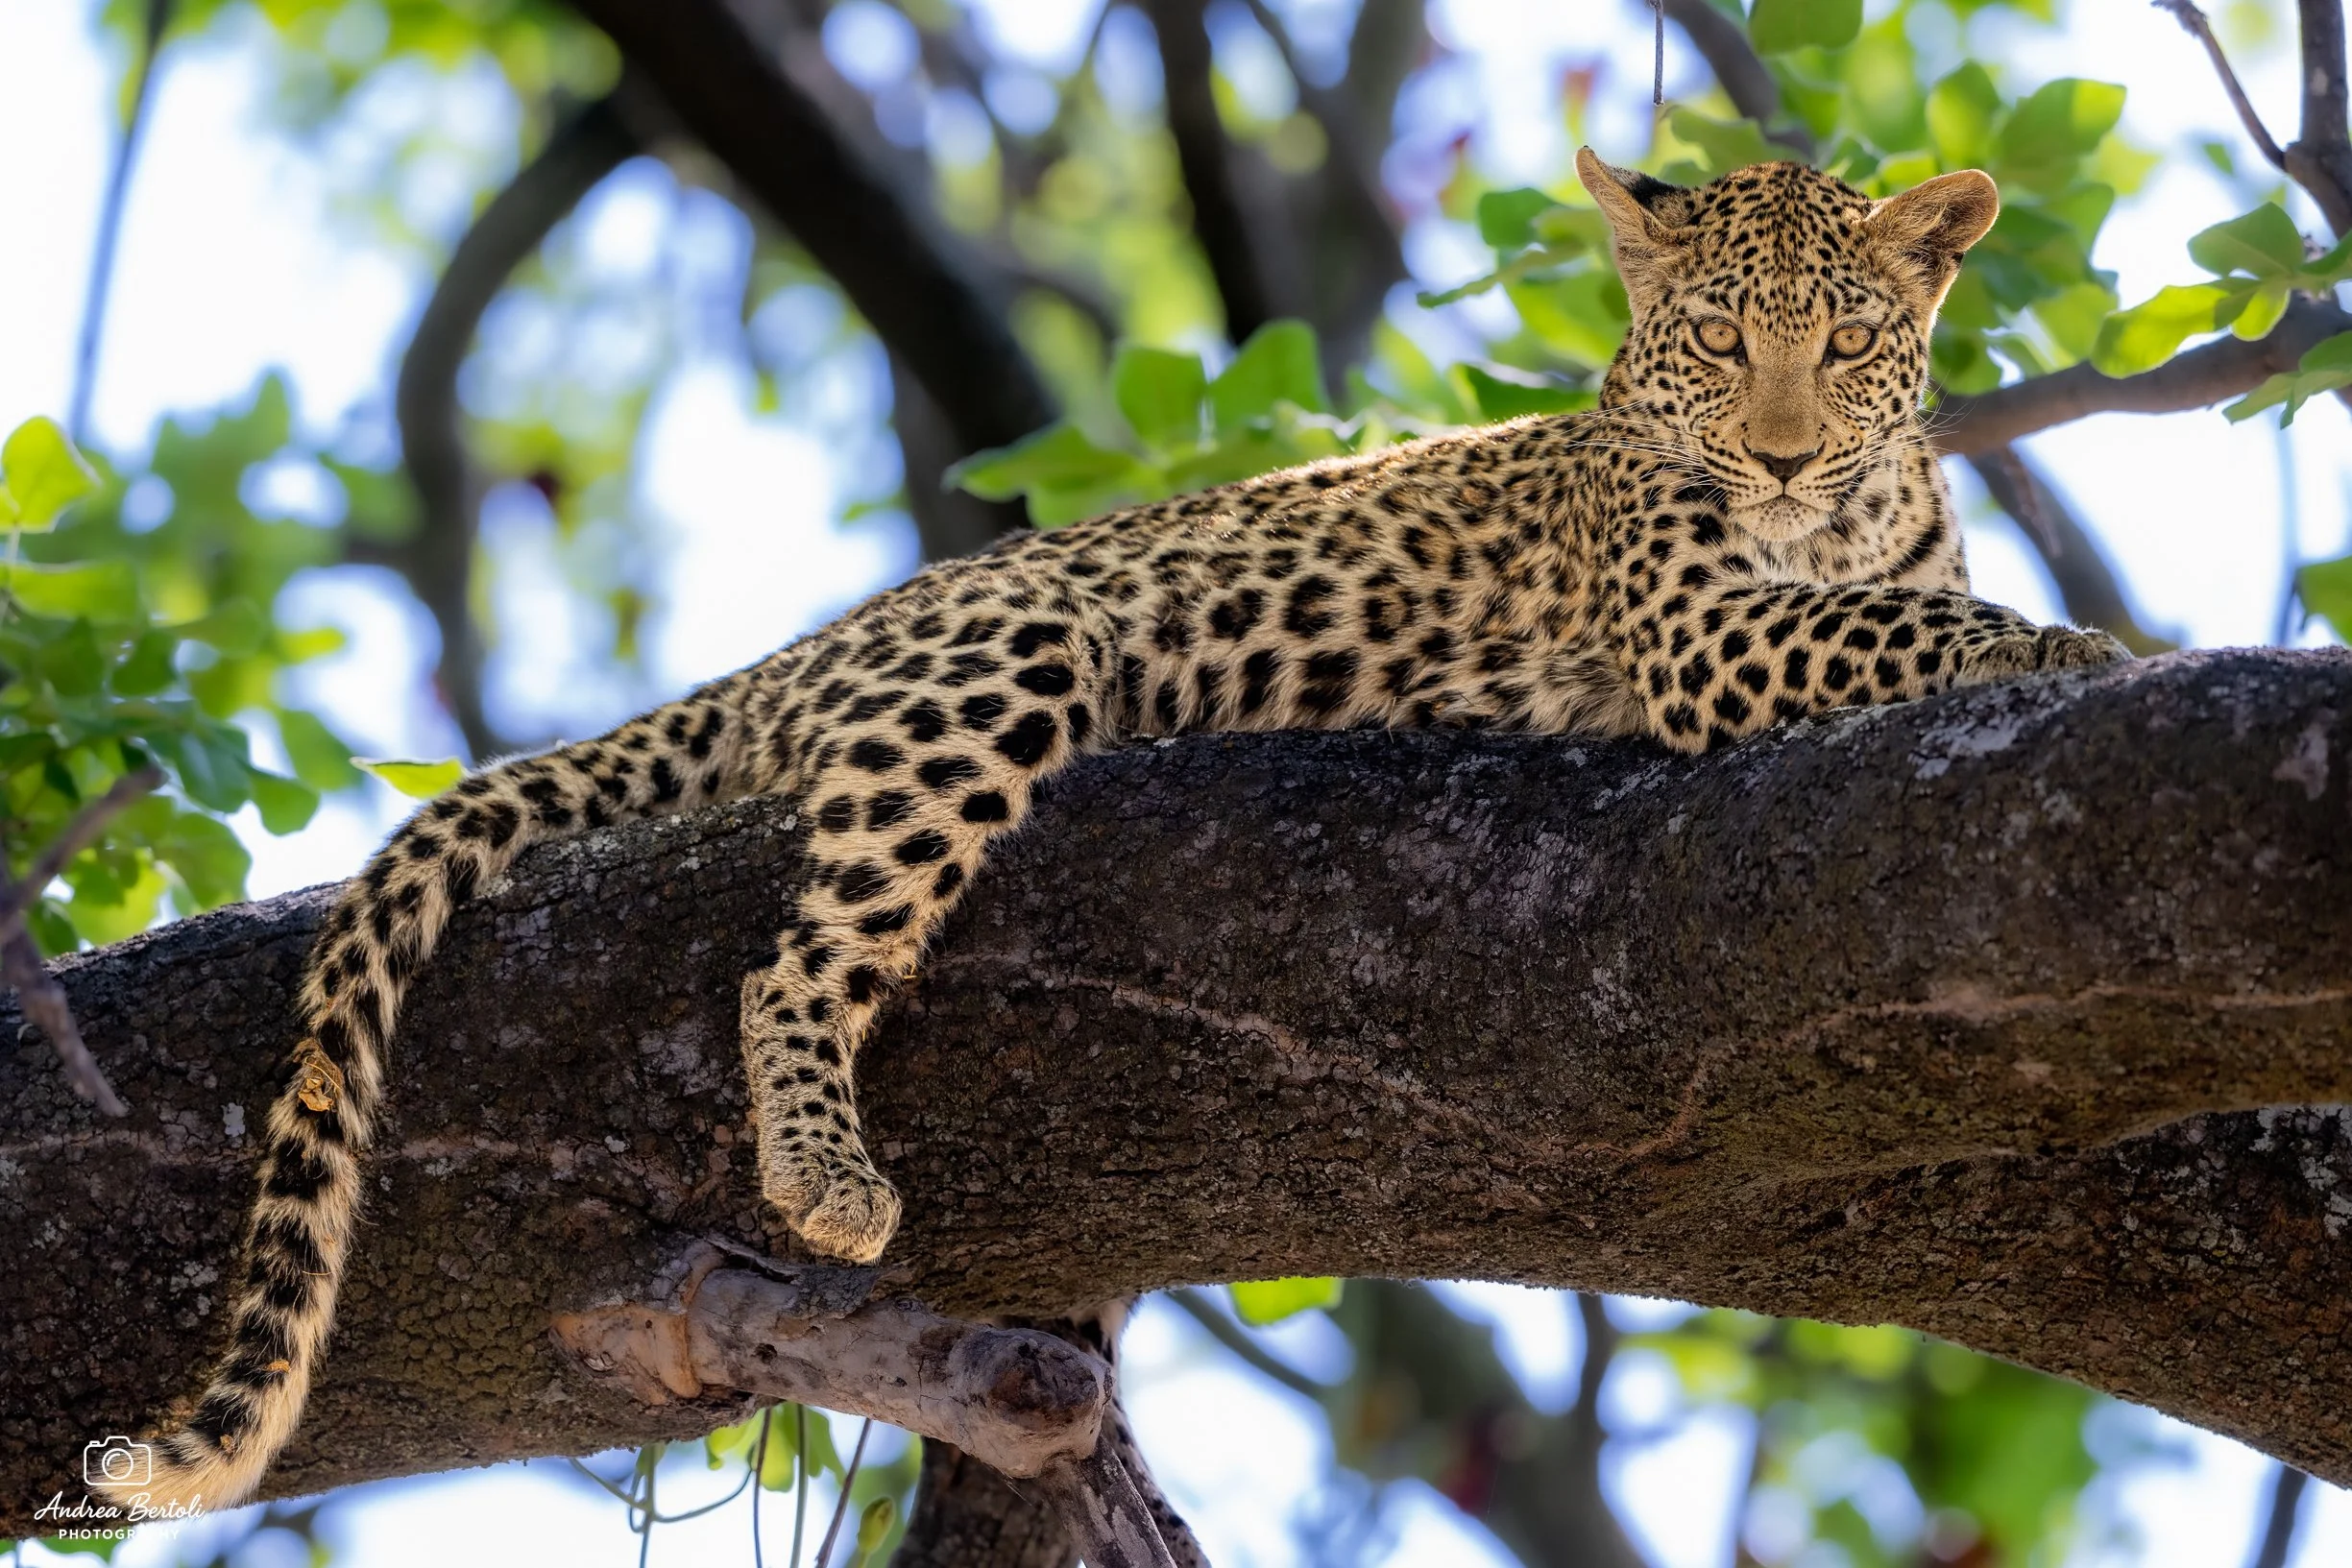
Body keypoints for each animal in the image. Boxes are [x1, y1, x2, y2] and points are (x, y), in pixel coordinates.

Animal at [108, 150, 2129, 1509]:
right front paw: (2085, 644)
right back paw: (827, 1169)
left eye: (1845, 341)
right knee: (795, 954)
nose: (1778, 452)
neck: (1834, 504)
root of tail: (807, 641)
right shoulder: (1703, 627)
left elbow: (1903, 602)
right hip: (1005, 662)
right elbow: (1899, 626)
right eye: (1715, 340)